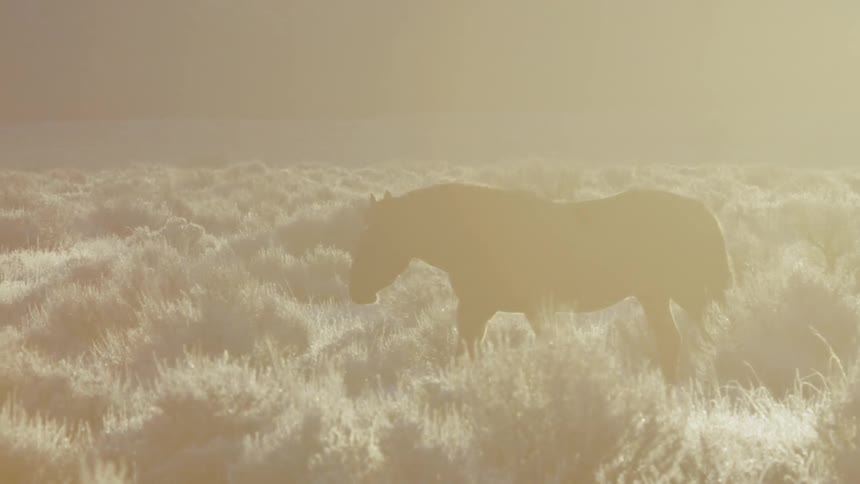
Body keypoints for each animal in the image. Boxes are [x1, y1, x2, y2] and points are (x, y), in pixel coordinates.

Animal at [348, 183, 733, 383]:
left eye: (373, 238)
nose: (357, 291)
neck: (470, 234)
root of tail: (702, 211)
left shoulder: (479, 308)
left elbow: (468, 351)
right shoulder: (490, 310)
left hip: (685, 295)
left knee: (704, 336)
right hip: (656, 296)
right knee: (672, 342)